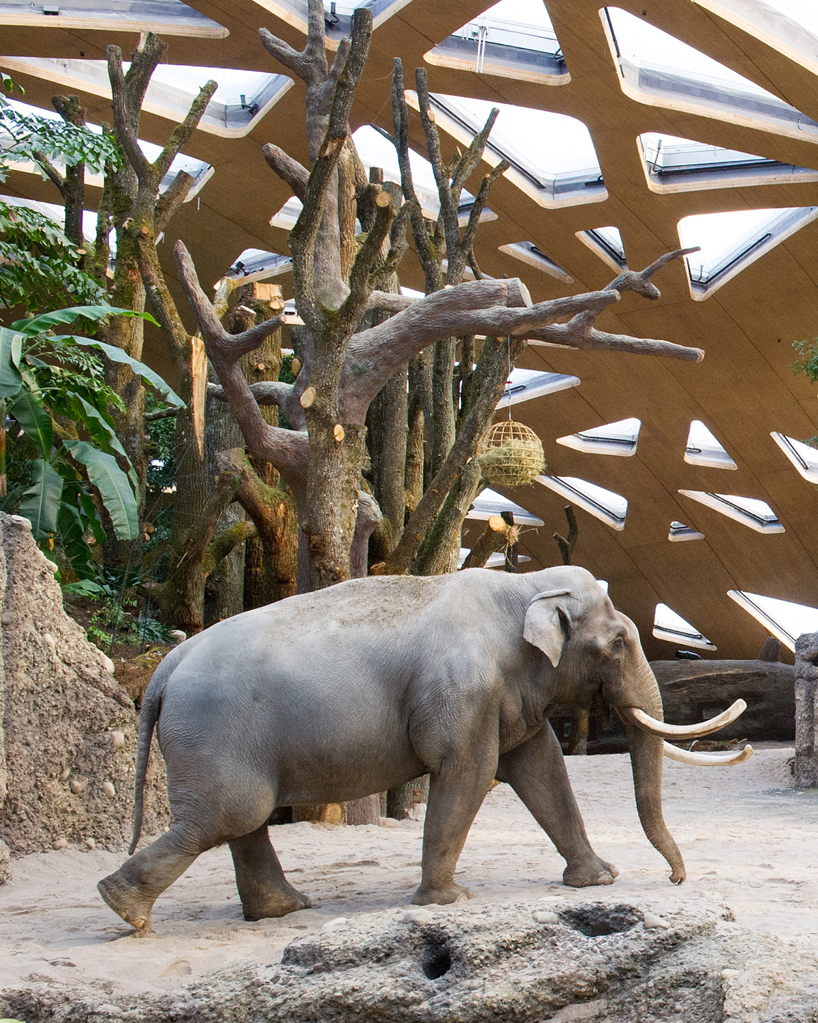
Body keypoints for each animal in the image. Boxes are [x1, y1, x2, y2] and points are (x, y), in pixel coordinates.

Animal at [98, 565, 750, 935]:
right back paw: (124, 909)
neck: (521, 589)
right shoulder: (463, 690)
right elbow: (469, 771)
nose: (675, 880)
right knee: (225, 816)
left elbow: (542, 770)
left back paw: (284, 911)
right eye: (617, 643)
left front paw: (598, 881)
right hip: (214, 734)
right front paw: (449, 902)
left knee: (243, 821)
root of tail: (165, 666)